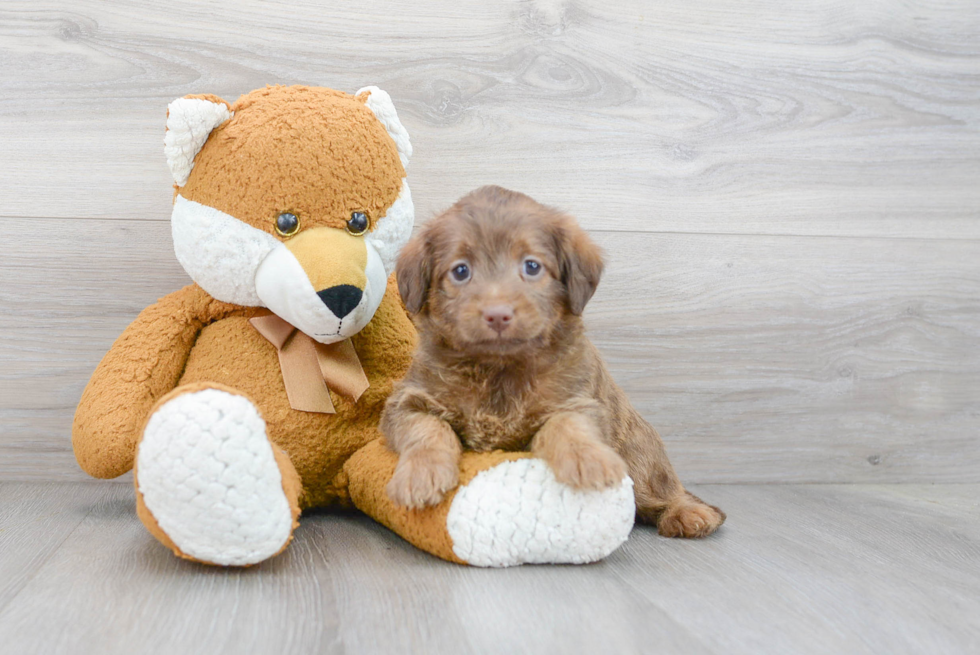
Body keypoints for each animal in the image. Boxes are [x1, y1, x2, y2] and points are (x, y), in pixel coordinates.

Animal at [378, 184, 724, 540]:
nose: (498, 314)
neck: (499, 369)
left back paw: (688, 512)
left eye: (532, 266)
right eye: (461, 271)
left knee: (662, 490)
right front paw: (421, 473)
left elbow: (566, 424)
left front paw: (587, 458)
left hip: (641, 458)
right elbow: (428, 429)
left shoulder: (579, 400)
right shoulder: (409, 400)